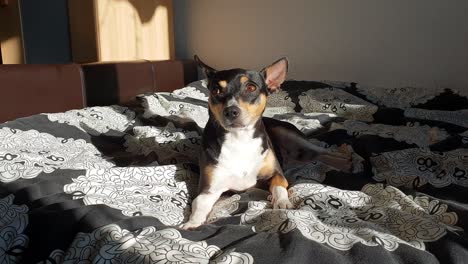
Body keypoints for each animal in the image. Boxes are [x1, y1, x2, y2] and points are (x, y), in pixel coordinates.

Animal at [179, 55, 352, 229]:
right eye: (216, 91)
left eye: (251, 88)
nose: (230, 111)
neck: (239, 138)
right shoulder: (209, 189)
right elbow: (199, 203)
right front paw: (192, 223)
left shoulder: (277, 173)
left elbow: (279, 187)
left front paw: (282, 203)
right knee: (312, 156)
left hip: (289, 134)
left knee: (321, 151)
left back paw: (344, 160)